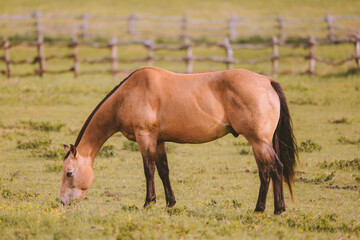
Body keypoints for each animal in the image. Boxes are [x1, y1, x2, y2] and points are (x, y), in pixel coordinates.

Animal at [60, 66, 296, 215]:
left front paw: (148, 203)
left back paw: (277, 209)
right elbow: (163, 170)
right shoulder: (158, 140)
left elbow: (149, 170)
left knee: (276, 168)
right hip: (259, 143)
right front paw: (170, 203)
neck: (128, 94)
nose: (62, 202)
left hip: (259, 142)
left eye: (69, 173)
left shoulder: (145, 136)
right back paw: (260, 209)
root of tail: (267, 82)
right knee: (265, 172)